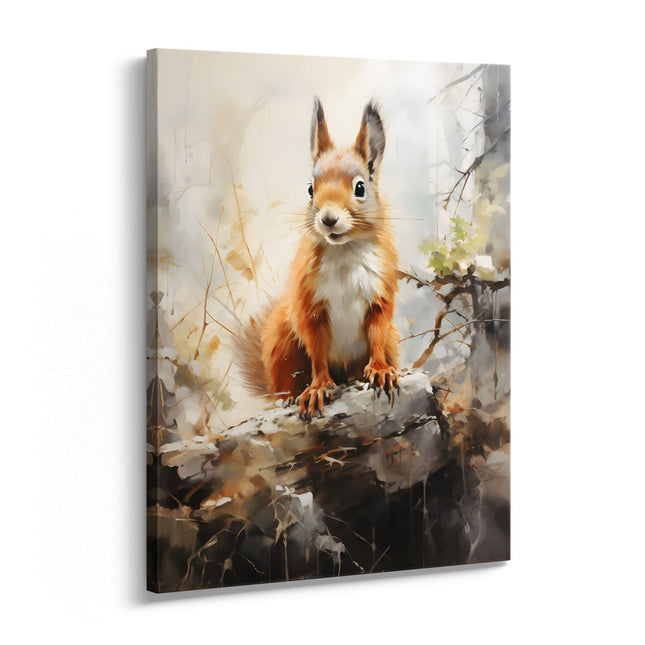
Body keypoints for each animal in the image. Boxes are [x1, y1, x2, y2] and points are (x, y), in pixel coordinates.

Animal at [237, 98, 400, 420]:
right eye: (310, 189)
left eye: (360, 188)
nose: (328, 218)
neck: (344, 251)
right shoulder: (309, 305)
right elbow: (317, 349)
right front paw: (319, 387)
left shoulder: (379, 294)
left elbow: (376, 333)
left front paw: (380, 370)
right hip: (281, 339)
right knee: (287, 380)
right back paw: (289, 397)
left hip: (391, 340)